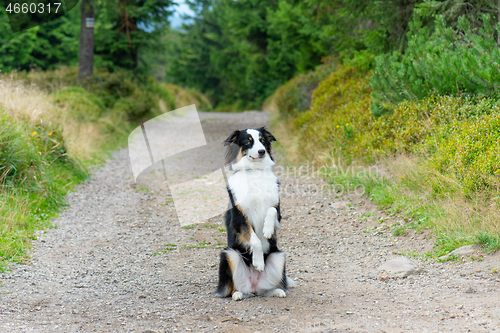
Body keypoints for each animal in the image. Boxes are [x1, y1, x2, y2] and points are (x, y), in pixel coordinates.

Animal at [216, 126, 292, 300]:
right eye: (248, 142)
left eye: (262, 140)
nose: (262, 151)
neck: (255, 171)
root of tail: (253, 287)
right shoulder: (239, 217)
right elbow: (255, 239)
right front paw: (258, 262)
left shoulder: (277, 210)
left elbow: (271, 210)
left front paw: (268, 230)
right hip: (229, 254)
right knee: (233, 287)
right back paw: (237, 294)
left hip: (279, 256)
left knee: (269, 288)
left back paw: (278, 291)